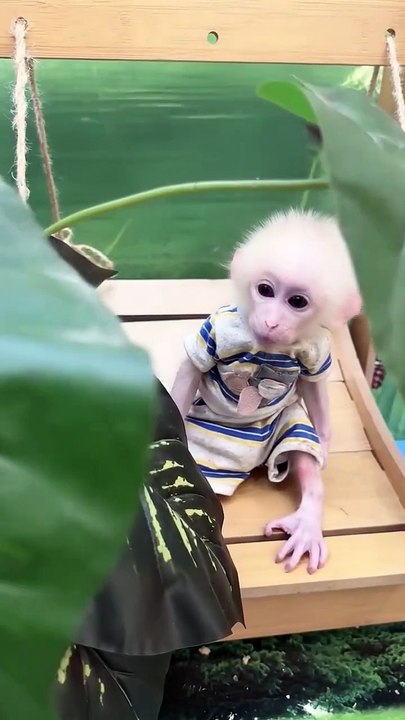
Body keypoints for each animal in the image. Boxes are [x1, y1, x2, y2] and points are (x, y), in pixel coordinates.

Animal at [171, 208, 362, 574]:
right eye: (265, 290)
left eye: (297, 301)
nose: (272, 322)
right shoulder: (215, 328)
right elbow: (192, 368)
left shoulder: (316, 347)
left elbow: (313, 386)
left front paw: (325, 442)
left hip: (285, 425)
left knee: (300, 444)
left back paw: (306, 523)